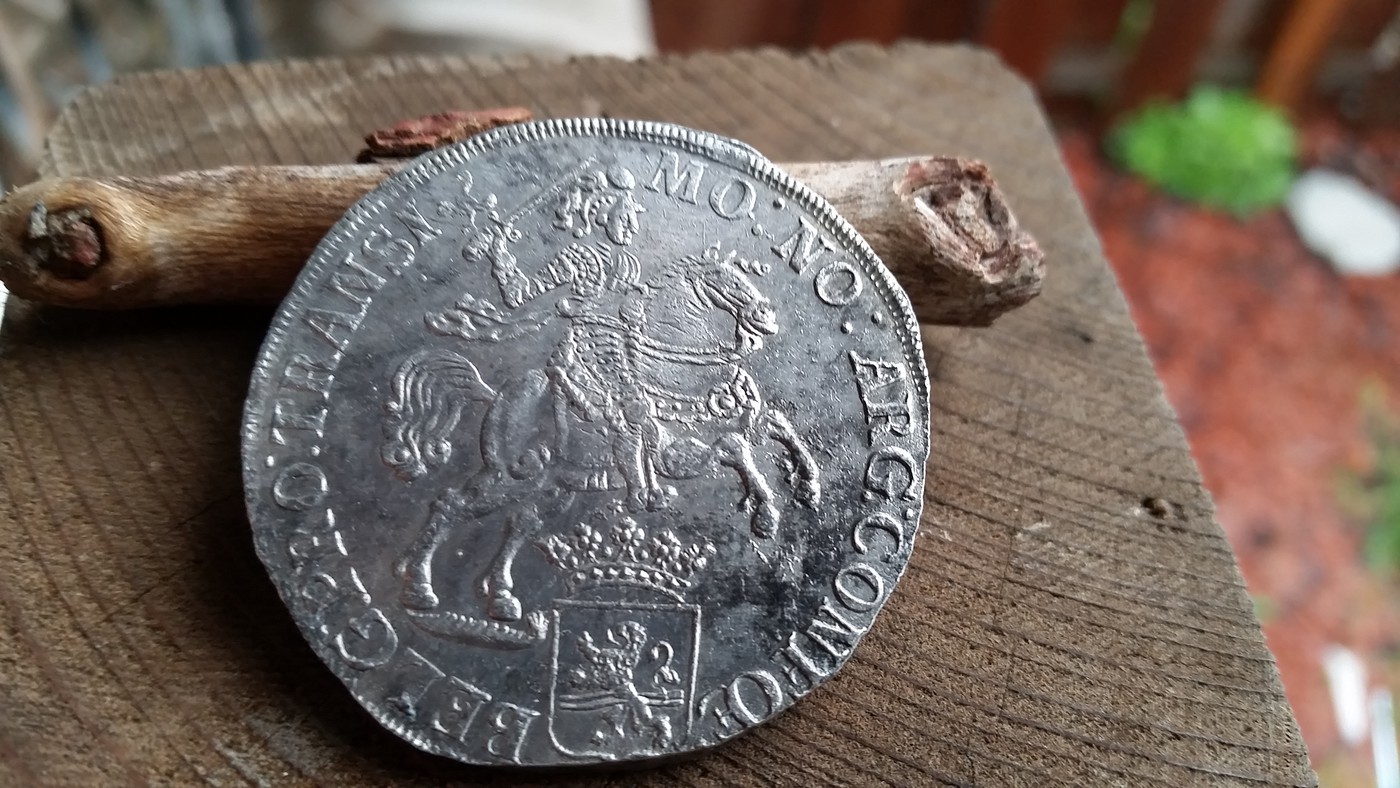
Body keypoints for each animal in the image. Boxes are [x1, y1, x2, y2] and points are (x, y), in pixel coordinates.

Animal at [381, 246, 821, 623]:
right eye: (721, 279)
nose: (766, 316)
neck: (685, 373)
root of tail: (498, 398)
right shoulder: (680, 450)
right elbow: (735, 448)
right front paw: (765, 513)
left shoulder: (747, 418)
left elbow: (777, 426)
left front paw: (807, 484)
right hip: (509, 476)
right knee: (451, 505)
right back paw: (419, 588)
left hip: (554, 488)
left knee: (520, 523)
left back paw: (501, 598)